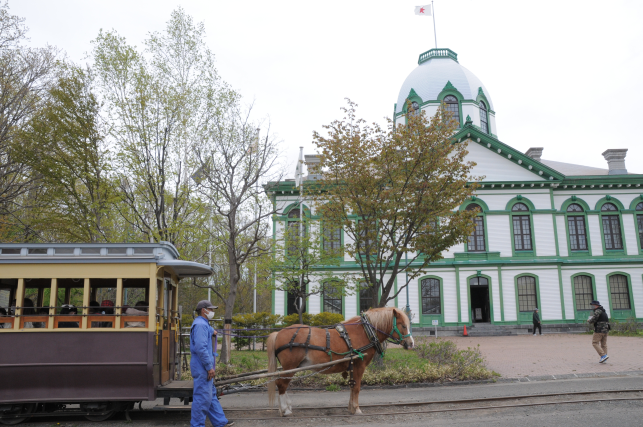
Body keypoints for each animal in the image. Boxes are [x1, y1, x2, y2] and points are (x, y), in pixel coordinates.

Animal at [266, 308, 412, 418]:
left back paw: (286, 407)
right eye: (403, 325)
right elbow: (357, 387)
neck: (365, 332)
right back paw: (285, 410)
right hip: (290, 366)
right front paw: (357, 409)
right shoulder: (359, 365)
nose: (411, 344)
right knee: (281, 384)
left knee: (283, 384)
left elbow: (352, 387)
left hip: (291, 367)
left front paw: (351, 408)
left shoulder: (352, 366)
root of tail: (278, 333)